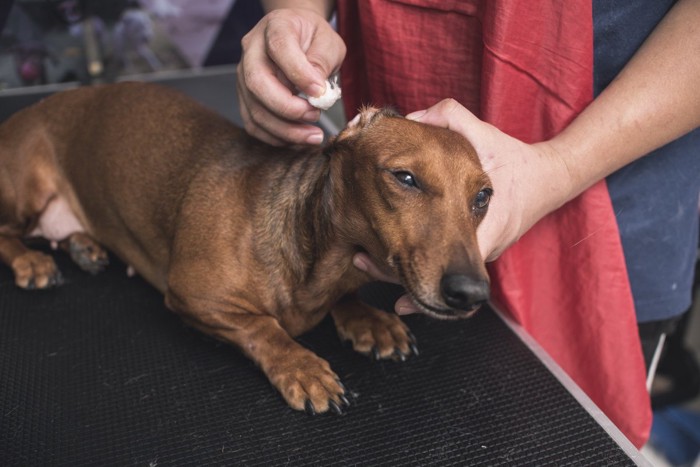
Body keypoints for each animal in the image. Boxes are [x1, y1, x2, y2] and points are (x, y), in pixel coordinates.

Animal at [0, 82, 492, 414]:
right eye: (405, 177)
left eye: (483, 197)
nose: (471, 293)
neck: (320, 265)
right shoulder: (193, 295)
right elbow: (263, 328)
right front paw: (301, 367)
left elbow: (345, 300)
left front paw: (368, 320)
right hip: (23, 192)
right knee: (6, 233)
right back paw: (31, 261)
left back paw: (84, 246)